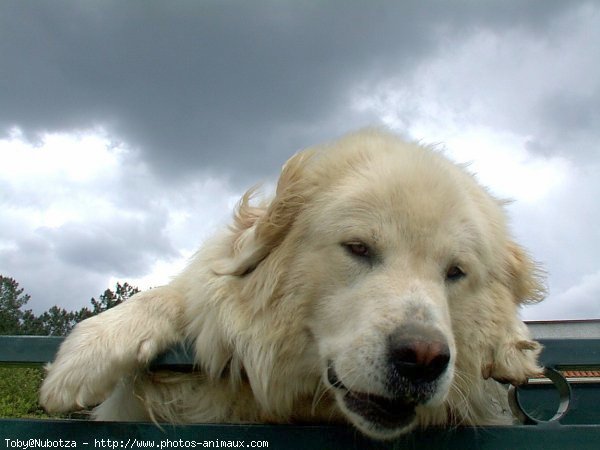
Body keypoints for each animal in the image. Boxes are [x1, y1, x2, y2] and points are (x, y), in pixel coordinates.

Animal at [39, 129, 544, 440]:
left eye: (455, 272)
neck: (301, 407)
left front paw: (512, 343)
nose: (422, 359)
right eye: (358, 248)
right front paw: (90, 352)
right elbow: (181, 295)